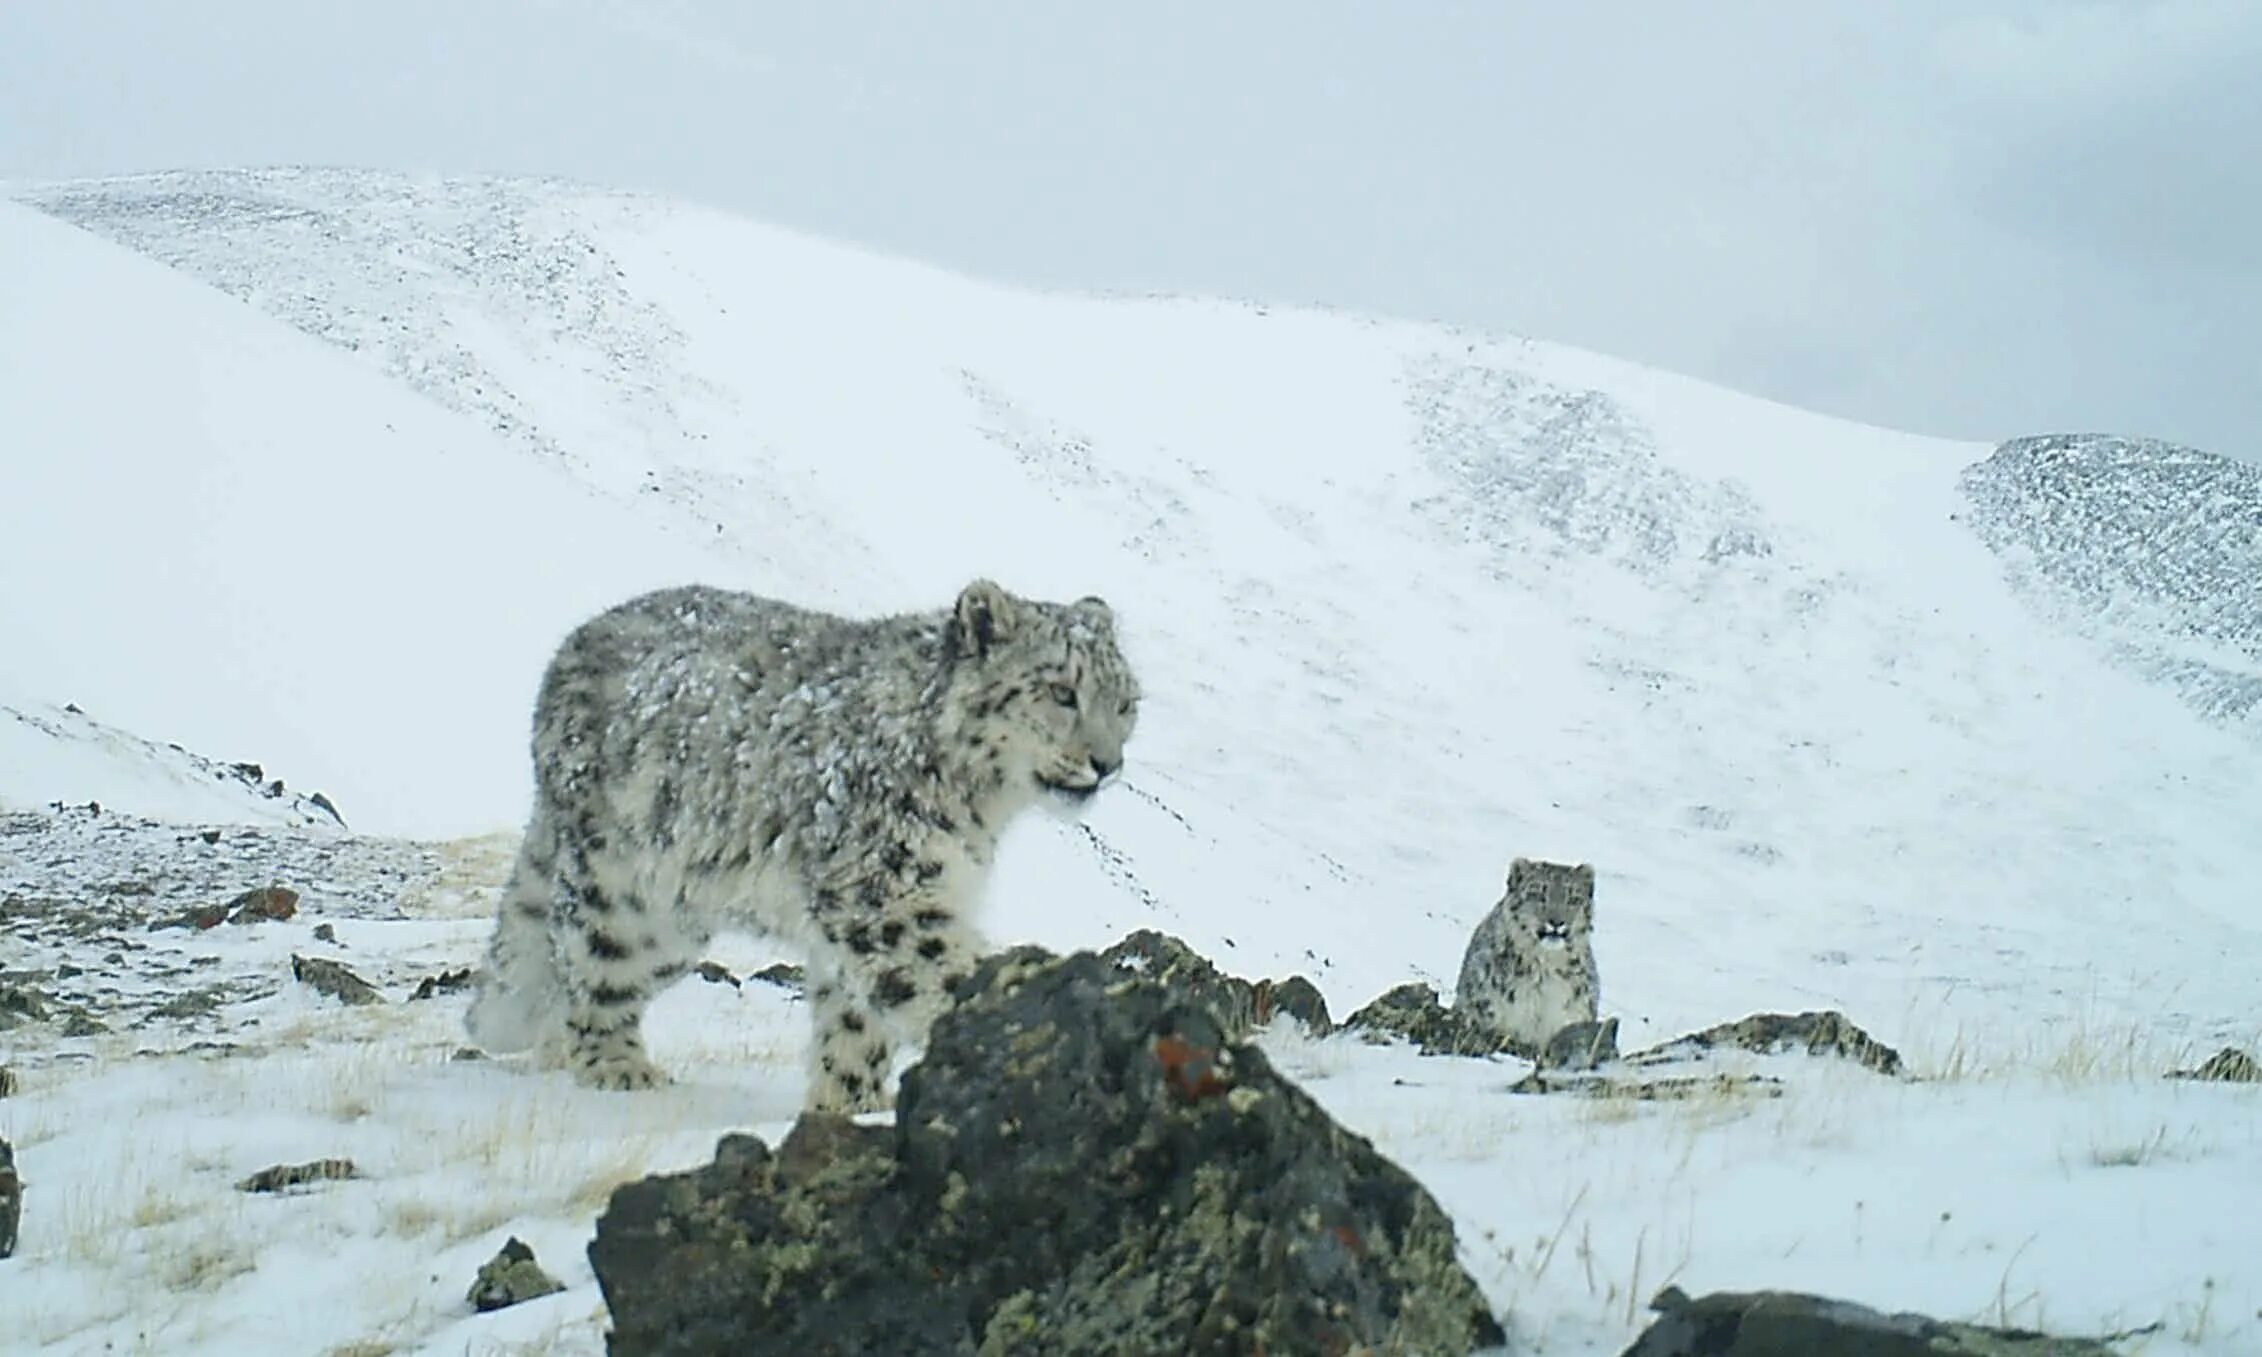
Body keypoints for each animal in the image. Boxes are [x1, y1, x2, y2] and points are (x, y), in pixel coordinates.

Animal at [459, 576, 1140, 1108]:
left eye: (1127, 703)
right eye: (1061, 691)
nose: (1107, 764)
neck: (982, 809)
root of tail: (572, 647)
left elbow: (856, 1019)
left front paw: (853, 1104)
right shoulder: (881, 885)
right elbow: (936, 967)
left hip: (676, 921)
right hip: (624, 890)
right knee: (594, 968)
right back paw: (618, 1070)